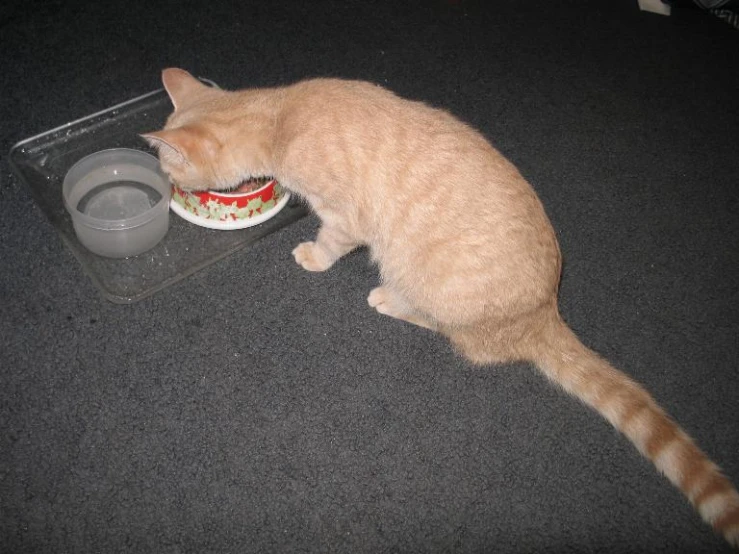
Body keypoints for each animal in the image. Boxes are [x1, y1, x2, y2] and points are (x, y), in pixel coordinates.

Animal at [143, 68, 739, 544]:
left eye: (172, 174)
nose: (169, 190)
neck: (281, 114)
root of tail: (545, 311)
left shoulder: (345, 219)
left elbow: (332, 243)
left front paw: (313, 256)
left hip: (424, 279)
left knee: (461, 340)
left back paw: (388, 297)